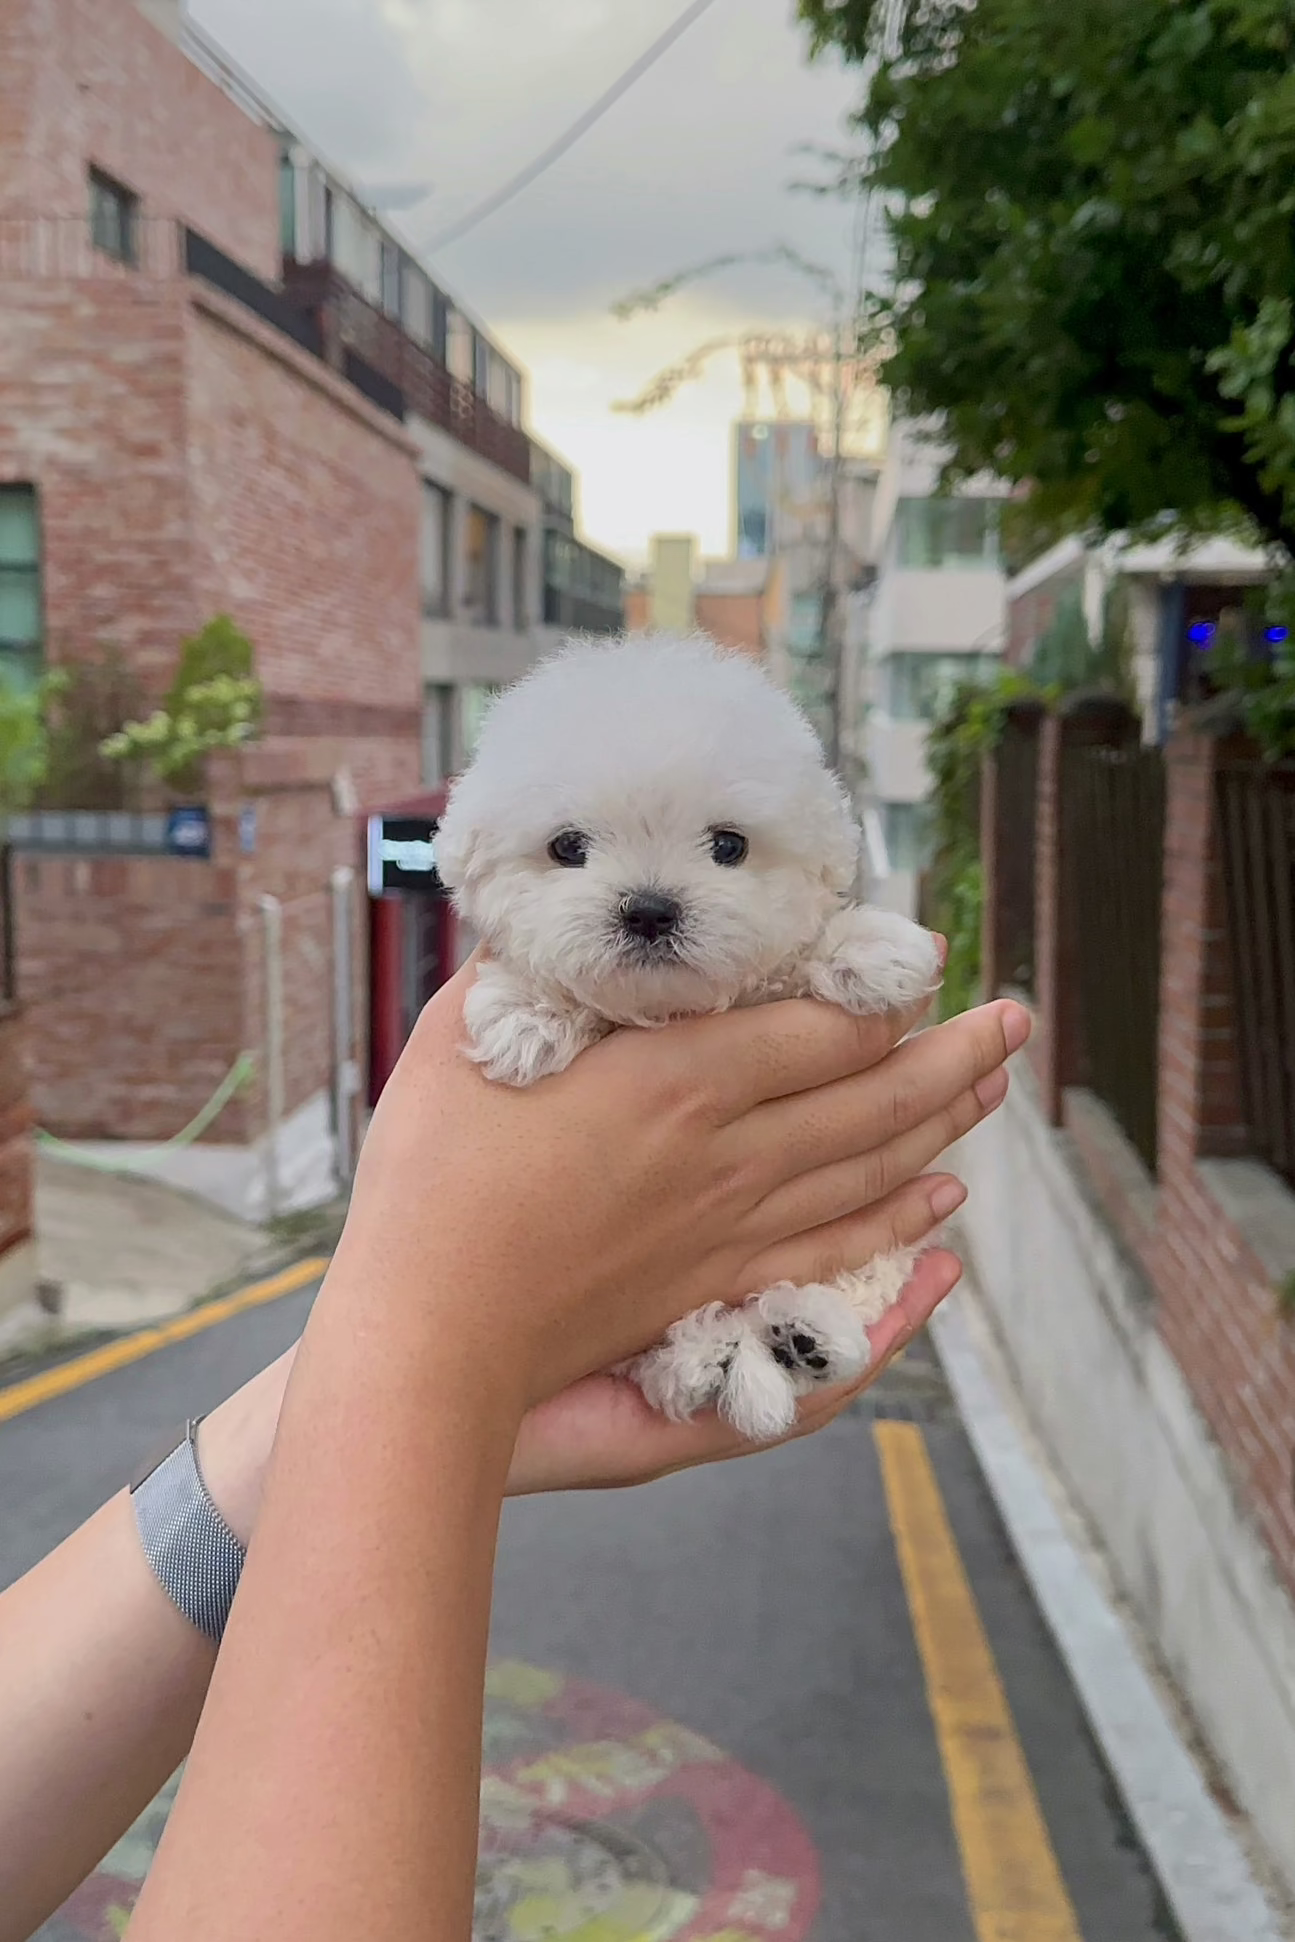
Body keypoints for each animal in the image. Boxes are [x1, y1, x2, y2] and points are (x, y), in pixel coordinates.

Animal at [434, 629, 943, 1437]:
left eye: (728, 846)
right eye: (568, 847)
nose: (648, 909)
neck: (672, 1012)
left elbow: (801, 952)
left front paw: (872, 949)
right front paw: (526, 1017)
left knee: (859, 1279)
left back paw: (807, 1334)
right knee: (662, 1359)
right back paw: (713, 1357)